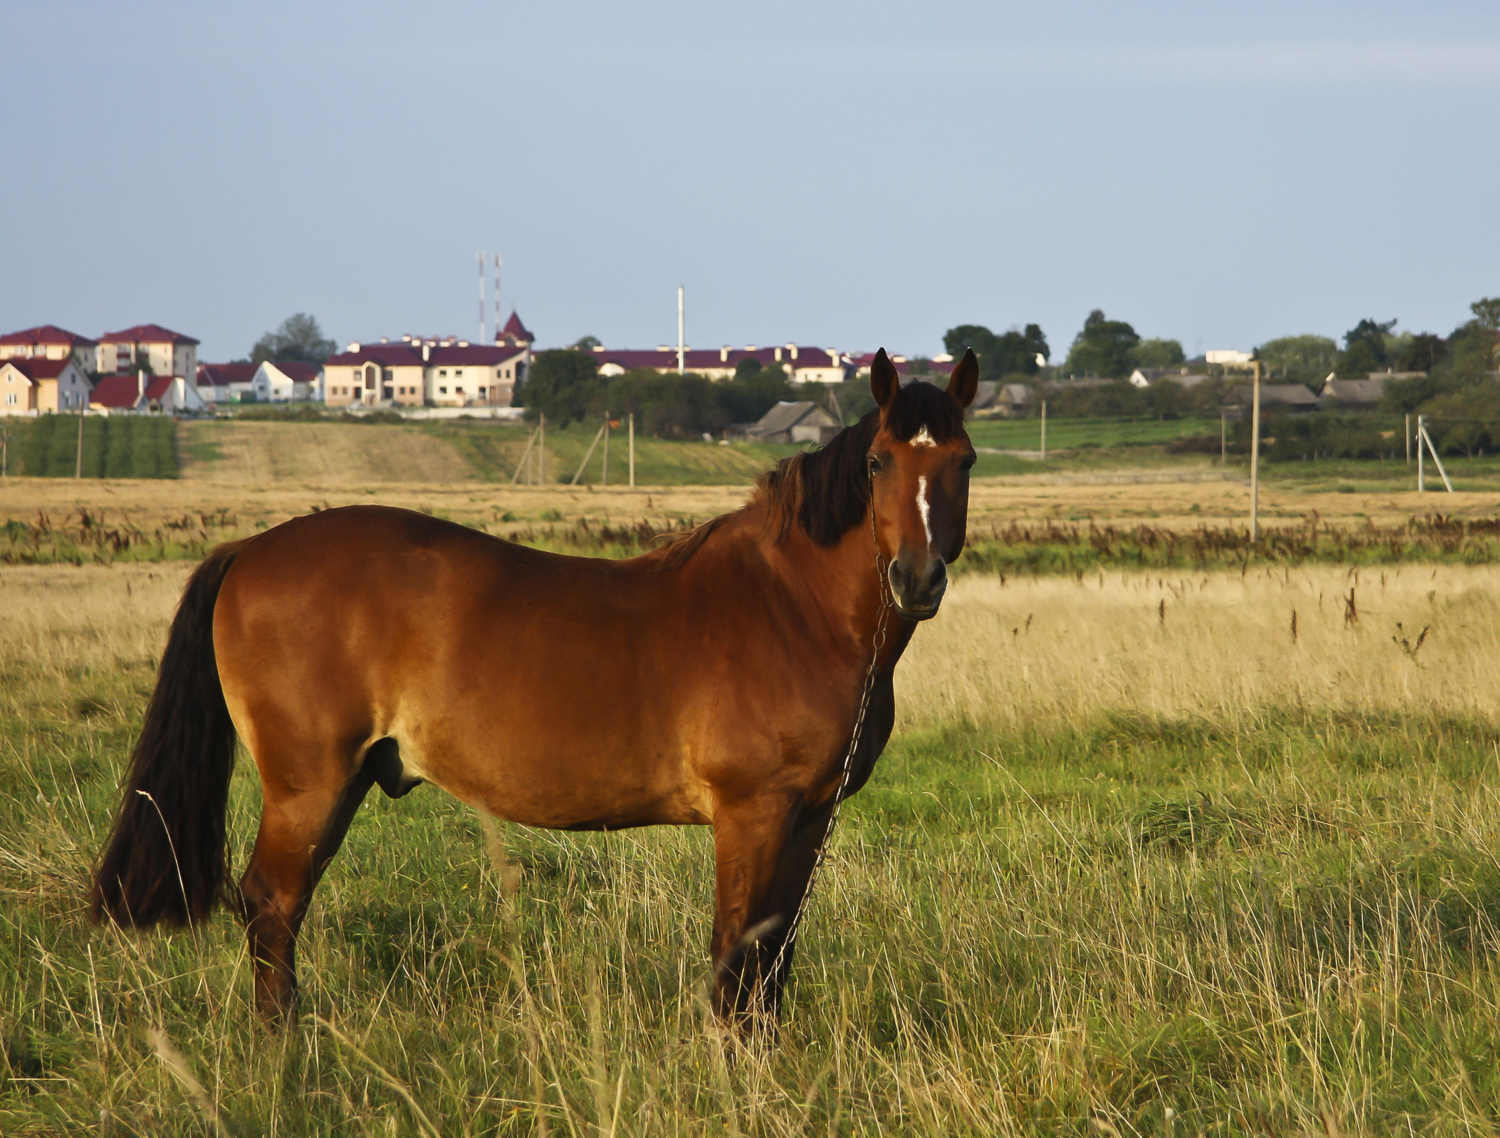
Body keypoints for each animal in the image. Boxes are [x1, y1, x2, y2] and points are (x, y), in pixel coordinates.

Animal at [93, 347, 984, 1025]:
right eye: (878, 461)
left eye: (964, 461)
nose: (917, 579)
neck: (792, 606)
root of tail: (249, 549)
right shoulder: (752, 816)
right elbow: (736, 957)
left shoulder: (807, 819)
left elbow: (774, 957)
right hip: (307, 788)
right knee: (272, 906)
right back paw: (281, 1050)